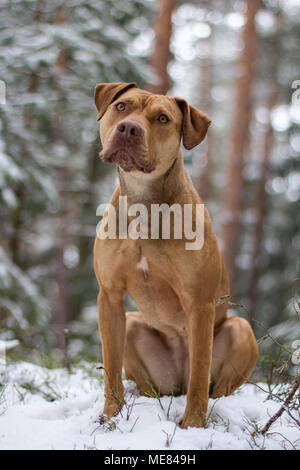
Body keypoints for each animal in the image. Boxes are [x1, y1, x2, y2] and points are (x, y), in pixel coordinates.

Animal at [93, 82, 258, 428]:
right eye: (121, 107)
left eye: (163, 118)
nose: (128, 128)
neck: (144, 202)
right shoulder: (109, 296)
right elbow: (111, 368)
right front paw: (111, 417)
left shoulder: (199, 302)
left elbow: (200, 375)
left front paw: (192, 424)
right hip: (134, 328)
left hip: (240, 330)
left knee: (210, 384)